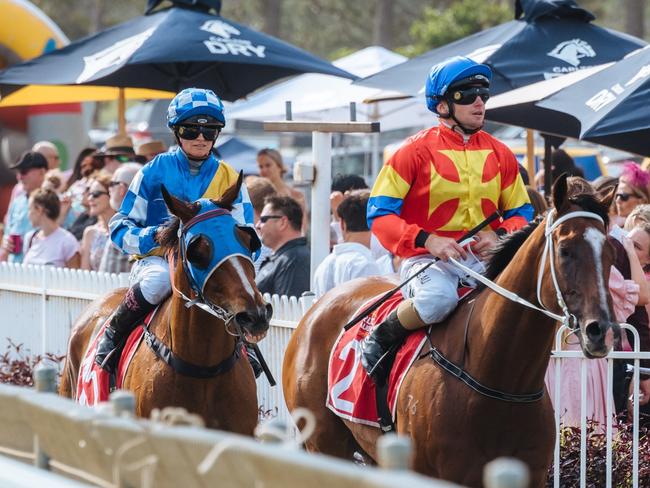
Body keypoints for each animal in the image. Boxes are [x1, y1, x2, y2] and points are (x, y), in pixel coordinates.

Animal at [284, 174, 616, 484]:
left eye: (610, 252)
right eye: (565, 249)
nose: (599, 331)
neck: (501, 381)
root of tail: (316, 307)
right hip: (324, 442)